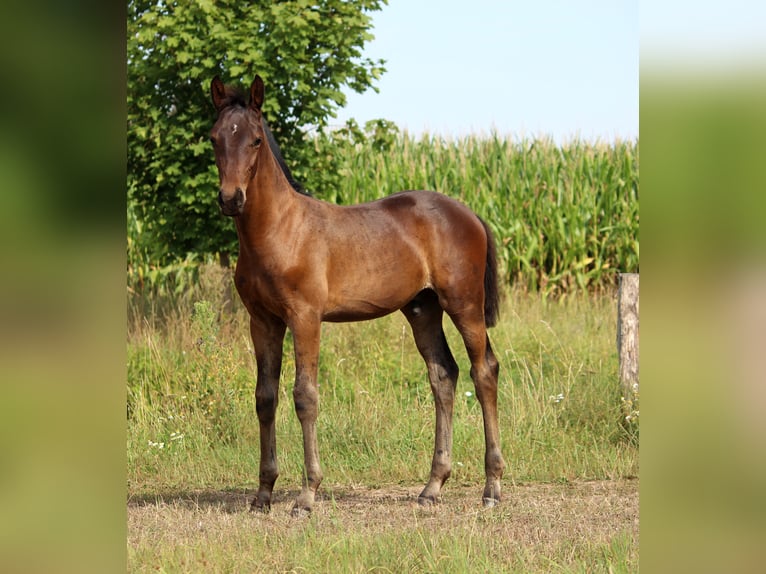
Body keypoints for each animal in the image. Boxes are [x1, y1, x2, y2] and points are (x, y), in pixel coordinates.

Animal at [212, 73, 510, 516]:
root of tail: (468, 213)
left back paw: (491, 487)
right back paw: (432, 487)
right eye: (214, 138)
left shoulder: (305, 317)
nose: (231, 199)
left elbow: (305, 396)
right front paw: (263, 494)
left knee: (484, 370)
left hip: (464, 304)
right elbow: (265, 398)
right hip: (422, 309)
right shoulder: (262, 320)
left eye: (255, 141)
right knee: (443, 375)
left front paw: (307, 495)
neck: (280, 231)